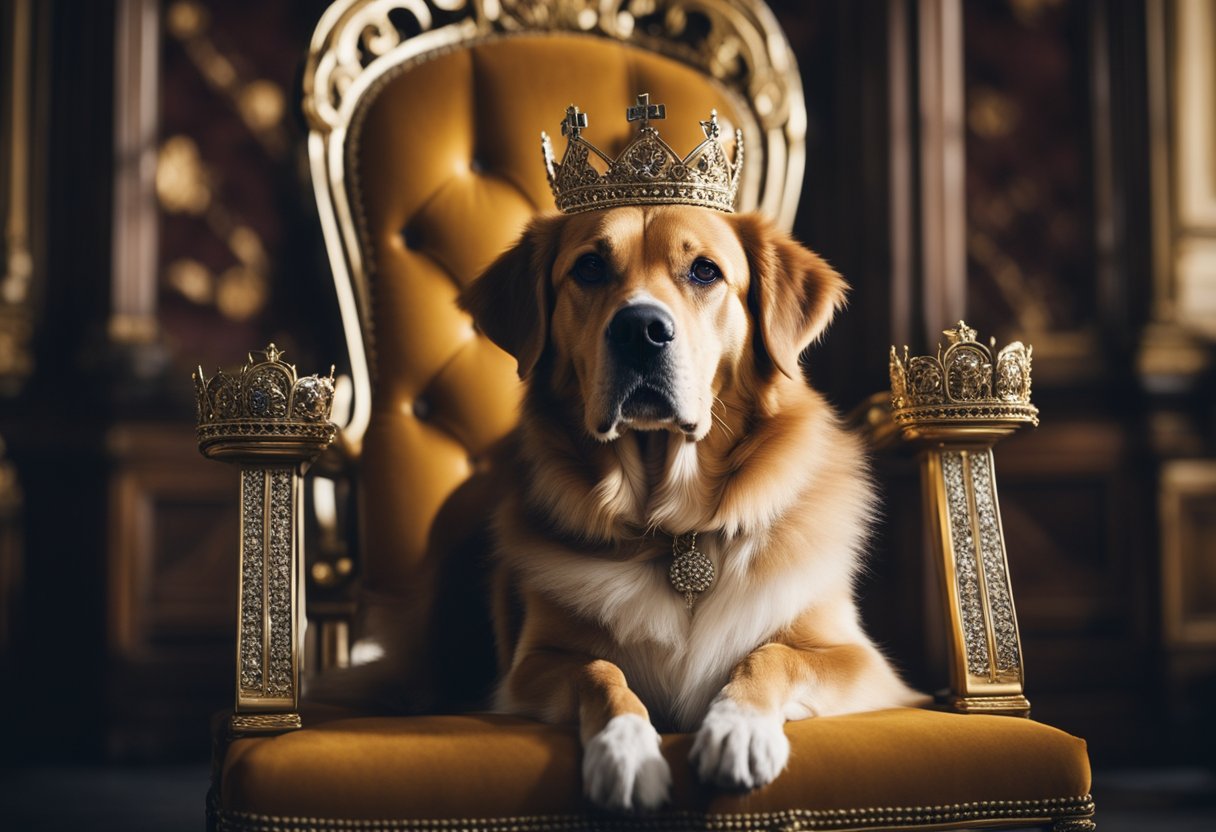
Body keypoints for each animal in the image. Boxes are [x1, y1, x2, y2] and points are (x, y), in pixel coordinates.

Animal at [457, 203, 919, 812]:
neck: (676, 526)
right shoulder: (530, 666)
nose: (640, 330)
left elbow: (774, 654)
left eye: (704, 271)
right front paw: (625, 747)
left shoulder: (862, 661)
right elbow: (599, 670)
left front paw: (738, 727)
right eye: (589, 268)